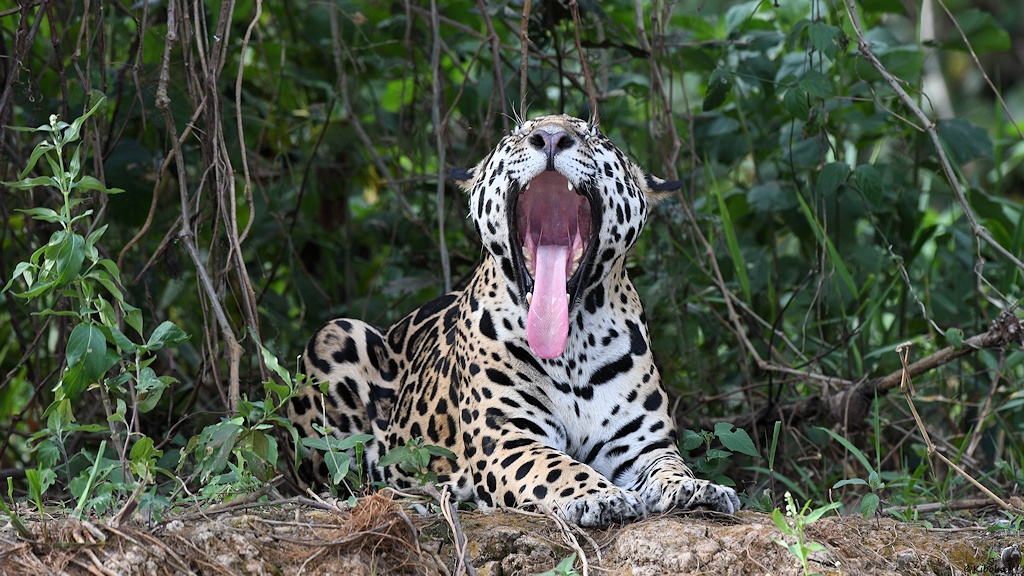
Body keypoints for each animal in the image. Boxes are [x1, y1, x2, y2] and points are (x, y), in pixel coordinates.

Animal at [288, 114, 741, 527]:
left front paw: (700, 487)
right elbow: (557, 466)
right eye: (519, 133)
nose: (552, 137)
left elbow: (671, 466)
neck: (572, 346)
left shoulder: (642, 445)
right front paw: (599, 496)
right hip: (336, 335)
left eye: (594, 135)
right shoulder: (509, 438)